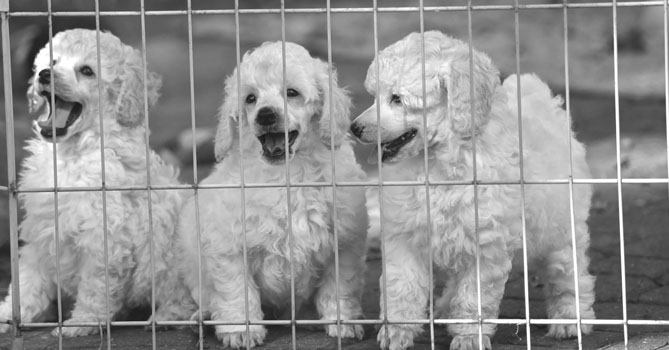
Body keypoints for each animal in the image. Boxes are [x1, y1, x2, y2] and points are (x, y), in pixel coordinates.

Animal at [0, 29, 197, 336]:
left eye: (87, 71)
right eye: (52, 61)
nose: (45, 74)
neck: (73, 154)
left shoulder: (104, 239)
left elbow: (95, 287)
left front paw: (80, 323)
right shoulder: (41, 234)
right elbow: (28, 281)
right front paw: (9, 315)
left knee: (184, 299)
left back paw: (165, 317)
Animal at [175, 40, 368, 348]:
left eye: (292, 93)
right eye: (250, 99)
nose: (266, 115)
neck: (286, 175)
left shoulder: (345, 241)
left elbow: (339, 286)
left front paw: (343, 322)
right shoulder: (228, 245)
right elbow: (237, 289)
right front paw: (240, 330)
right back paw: (203, 318)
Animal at [350, 30, 596, 350]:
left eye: (397, 99)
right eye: (374, 95)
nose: (354, 128)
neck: (437, 162)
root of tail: (543, 101)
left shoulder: (487, 244)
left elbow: (474, 297)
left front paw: (468, 337)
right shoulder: (404, 236)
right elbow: (401, 286)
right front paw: (396, 333)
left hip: (562, 226)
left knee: (568, 273)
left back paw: (569, 320)